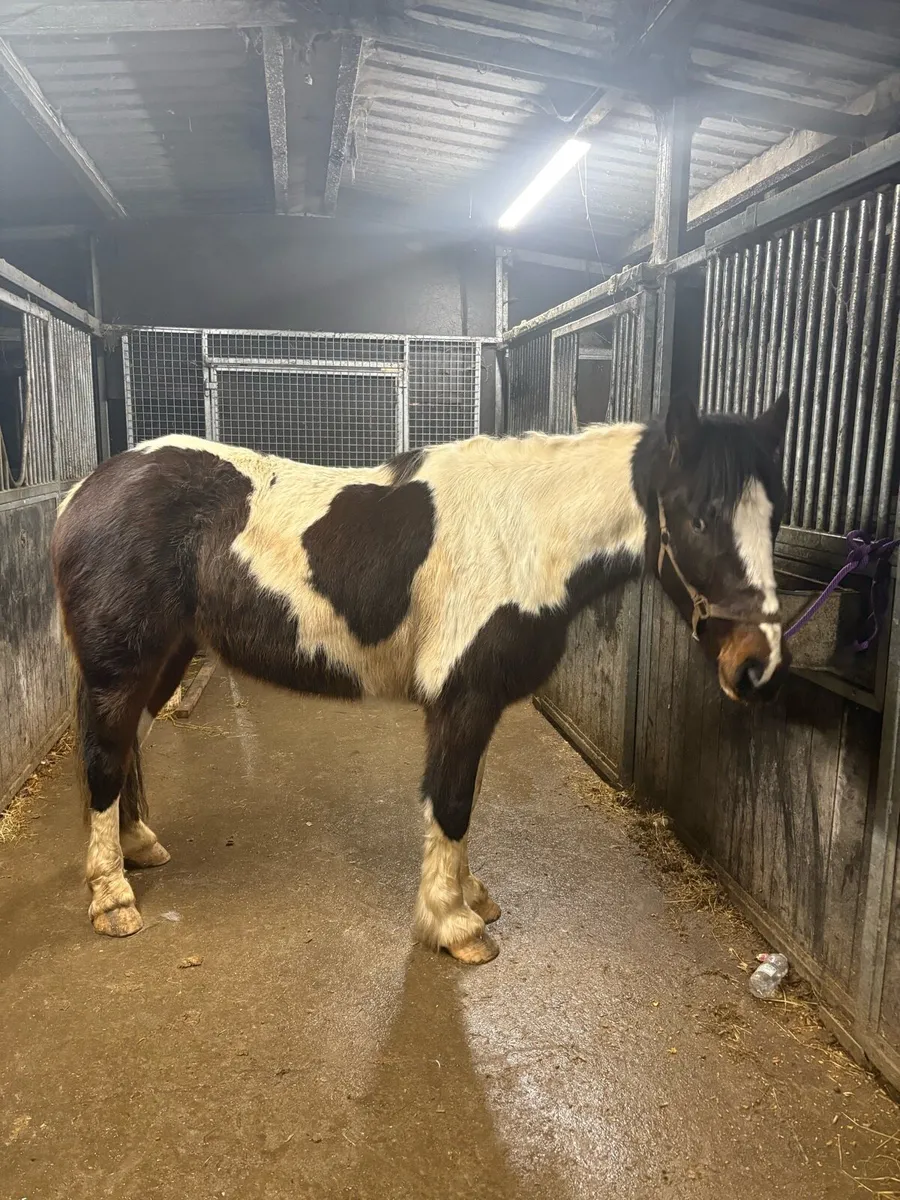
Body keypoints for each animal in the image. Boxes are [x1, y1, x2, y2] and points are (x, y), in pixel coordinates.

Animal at [51, 389, 790, 965]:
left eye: (776, 517)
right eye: (699, 517)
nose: (757, 666)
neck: (523, 536)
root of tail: (84, 492)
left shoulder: (476, 704)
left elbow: (462, 801)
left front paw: (471, 898)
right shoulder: (462, 698)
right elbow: (452, 802)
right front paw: (453, 926)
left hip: (163, 659)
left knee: (123, 750)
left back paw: (137, 847)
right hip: (122, 667)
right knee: (103, 760)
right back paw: (112, 897)